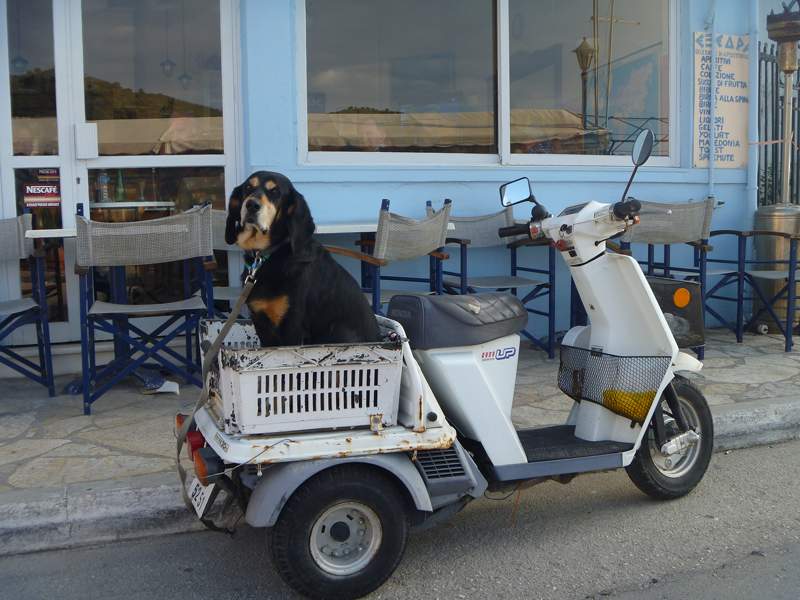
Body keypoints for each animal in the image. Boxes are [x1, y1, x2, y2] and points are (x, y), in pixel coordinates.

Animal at [225, 171, 380, 347]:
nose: (251, 204)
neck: (269, 254)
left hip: (340, 331)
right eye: (248, 187)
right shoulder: (261, 323)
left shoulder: (292, 325)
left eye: (275, 192)